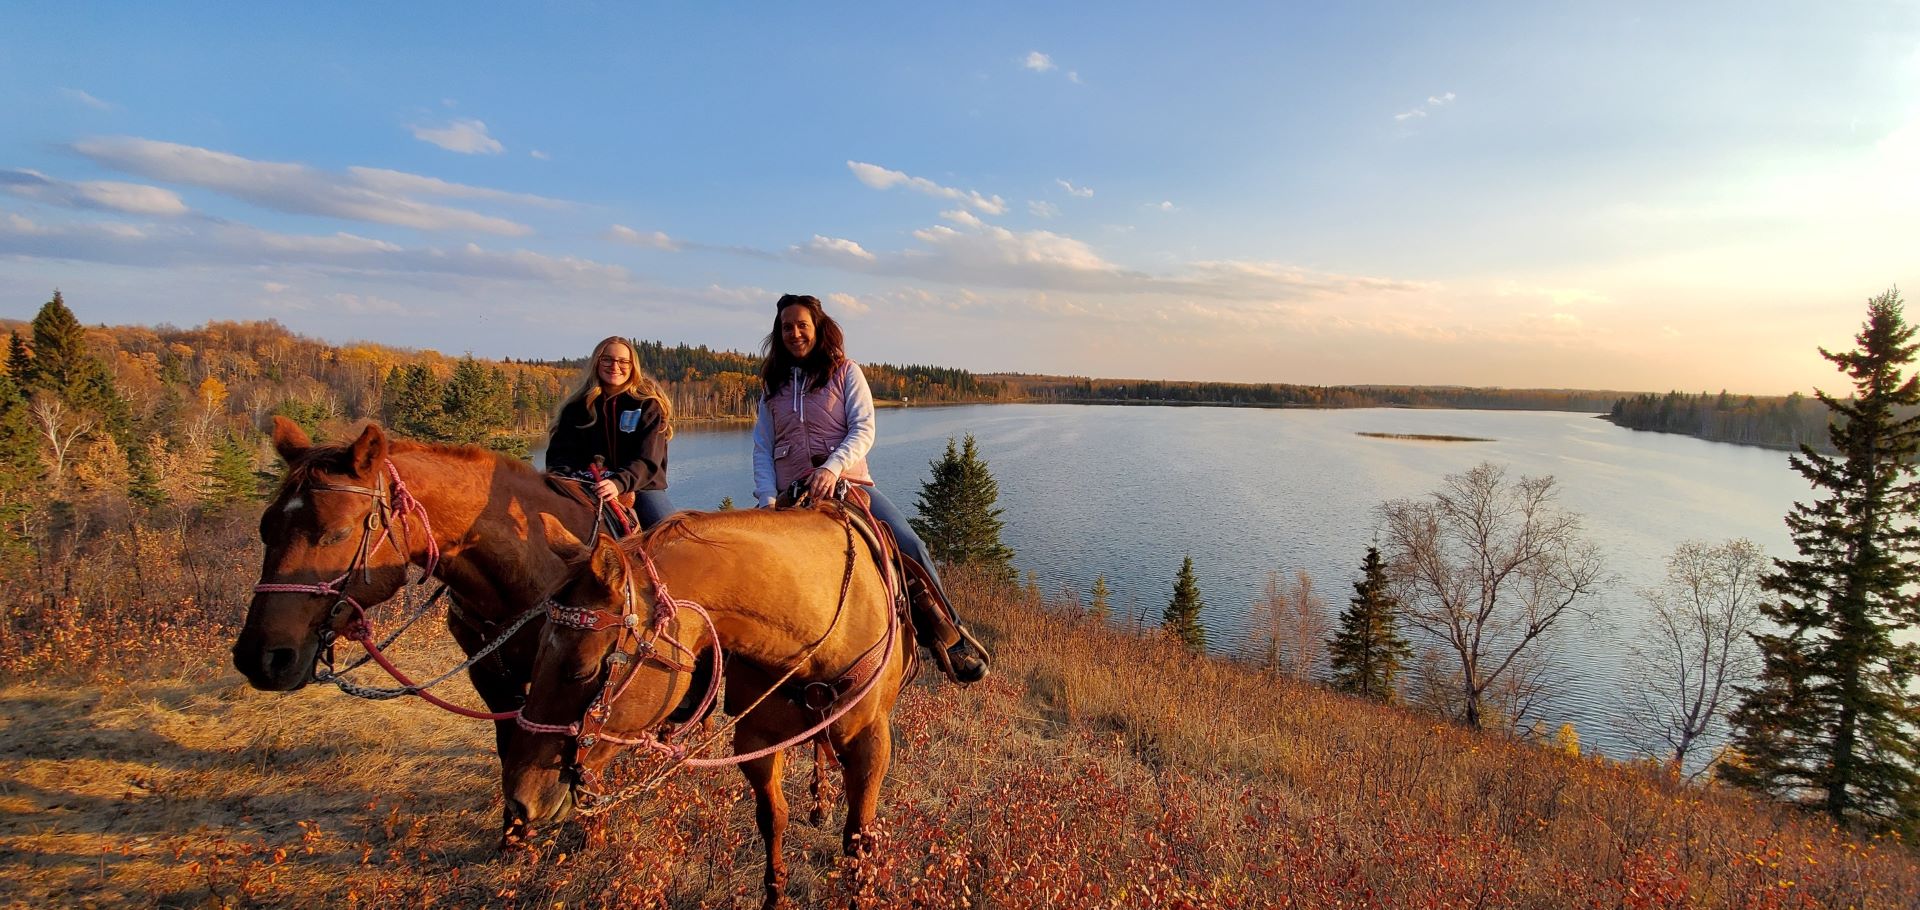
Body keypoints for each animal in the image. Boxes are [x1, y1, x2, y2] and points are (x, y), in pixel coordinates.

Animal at [504, 506, 910, 910]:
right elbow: (773, 818)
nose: (520, 800)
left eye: (581, 670)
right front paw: (775, 896)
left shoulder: (872, 740)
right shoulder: (755, 741)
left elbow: (858, 838)